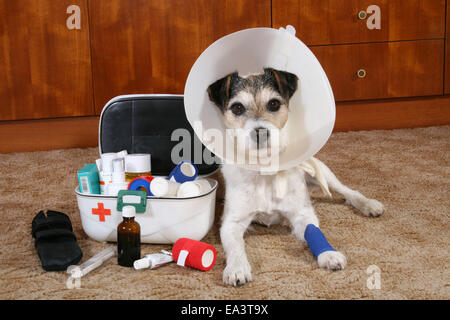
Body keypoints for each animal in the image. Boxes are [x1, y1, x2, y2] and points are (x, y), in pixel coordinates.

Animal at [206, 67, 384, 284]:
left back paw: (369, 205)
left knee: (348, 191)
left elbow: (314, 233)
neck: (265, 170)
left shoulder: (302, 215)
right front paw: (237, 268)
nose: (260, 132)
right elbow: (235, 247)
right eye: (237, 107)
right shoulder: (231, 223)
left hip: (322, 173)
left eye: (274, 103)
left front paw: (328, 253)